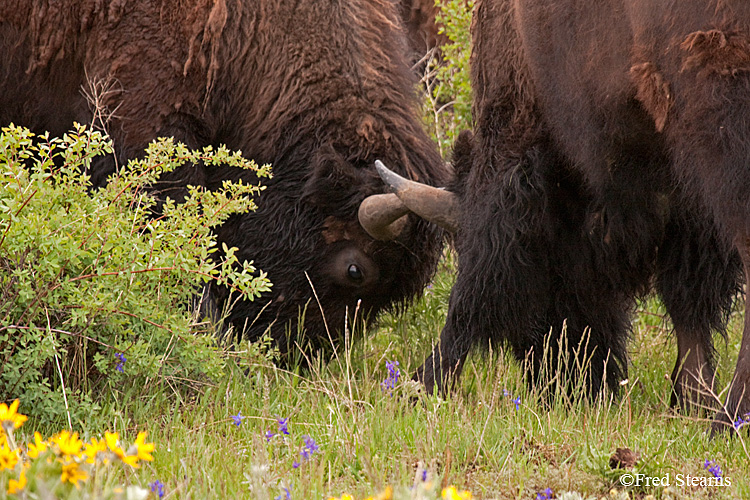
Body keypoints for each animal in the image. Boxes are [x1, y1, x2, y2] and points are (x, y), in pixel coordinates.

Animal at [375, 0, 750, 433]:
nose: (566, 388)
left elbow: (474, 285)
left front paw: (422, 384)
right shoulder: (685, 197)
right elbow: (688, 302)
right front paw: (691, 400)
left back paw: (729, 421)